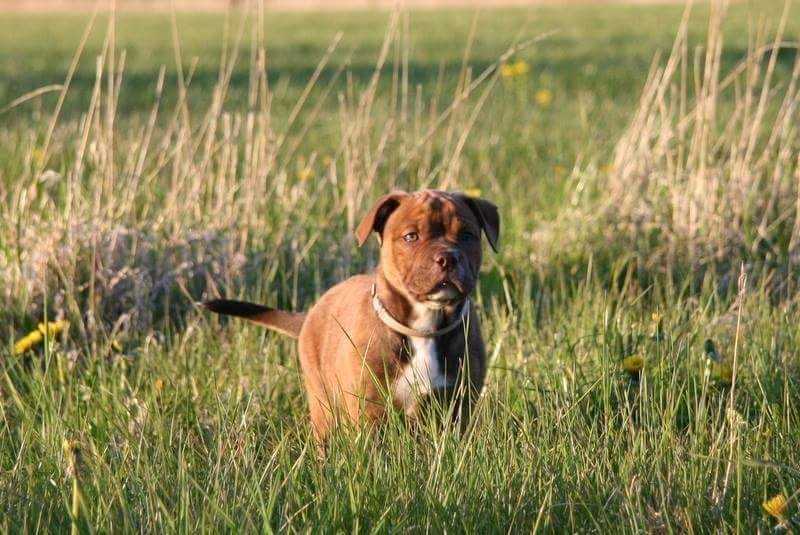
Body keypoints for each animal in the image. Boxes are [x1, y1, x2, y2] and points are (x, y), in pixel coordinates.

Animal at [202, 191, 500, 442]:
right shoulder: (371, 410)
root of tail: (310, 313)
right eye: (411, 237)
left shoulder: (458, 406)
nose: (448, 258)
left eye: (467, 236)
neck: (423, 328)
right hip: (322, 404)